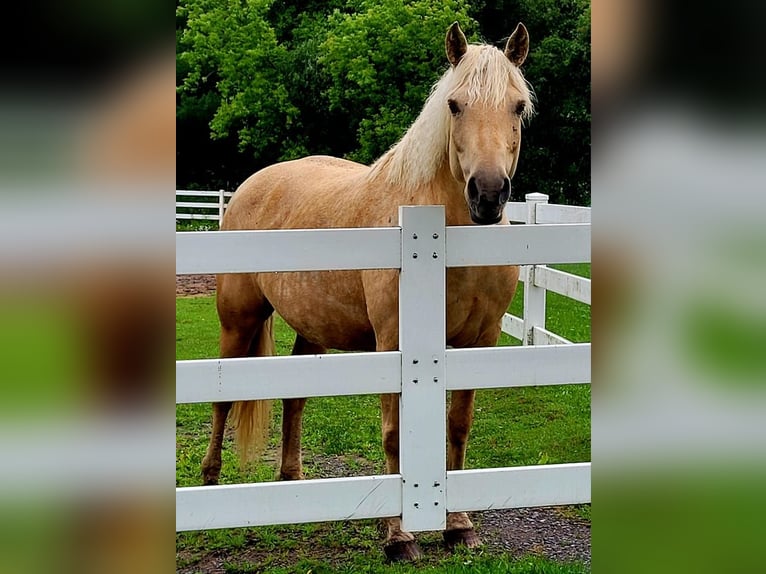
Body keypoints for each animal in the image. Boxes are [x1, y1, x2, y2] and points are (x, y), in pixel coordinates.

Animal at [202, 21, 536, 564]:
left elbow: (458, 427)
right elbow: (395, 433)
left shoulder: (478, 342)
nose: (487, 195)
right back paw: (209, 488)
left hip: (311, 329)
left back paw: (293, 485)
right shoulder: (394, 343)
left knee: (295, 398)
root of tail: (252, 184)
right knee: (223, 399)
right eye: (454, 104)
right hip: (239, 318)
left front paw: (459, 526)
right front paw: (398, 535)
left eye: (517, 106)